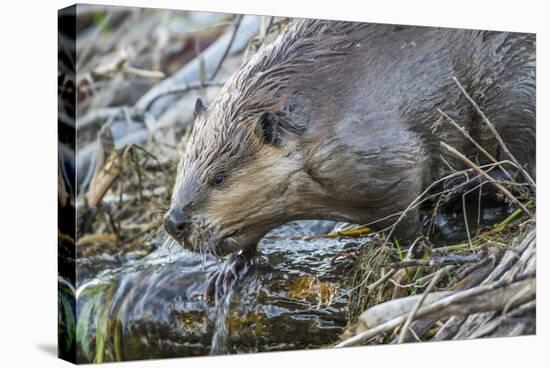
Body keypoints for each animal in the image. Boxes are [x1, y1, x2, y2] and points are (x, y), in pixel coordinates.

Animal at [163, 19, 536, 302]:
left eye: (218, 177)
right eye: (182, 169)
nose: (174, 222)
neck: (317, 115)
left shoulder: (377, 152)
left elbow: (405, 207)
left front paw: (413, 254)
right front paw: (226, 274)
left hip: (513, 95)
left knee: (518, 171)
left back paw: (458, 189)